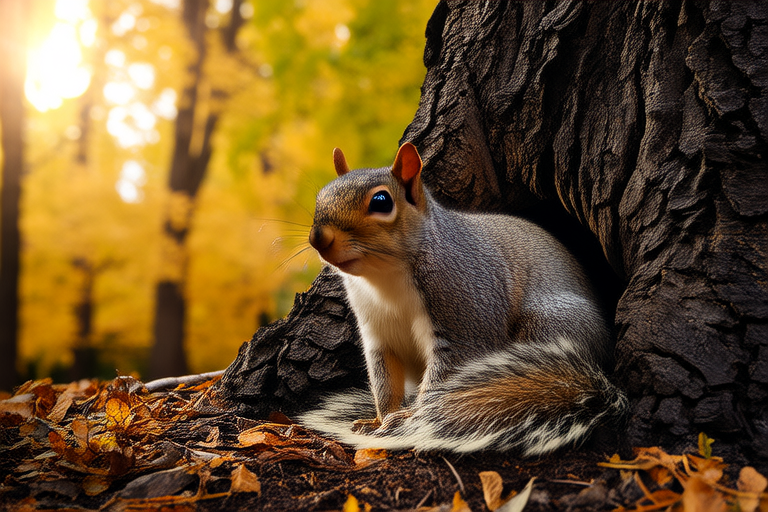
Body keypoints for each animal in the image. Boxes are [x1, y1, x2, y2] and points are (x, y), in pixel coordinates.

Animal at [300, 142, 627, 456]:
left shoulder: (464, 313)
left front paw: (409, 418)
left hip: (550, 324)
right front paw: (378, 420)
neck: (383, 279)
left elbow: (446, 375)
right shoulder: (378, 333)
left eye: (381, 202)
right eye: (321, 195)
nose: (318, 238)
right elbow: (386, 383)